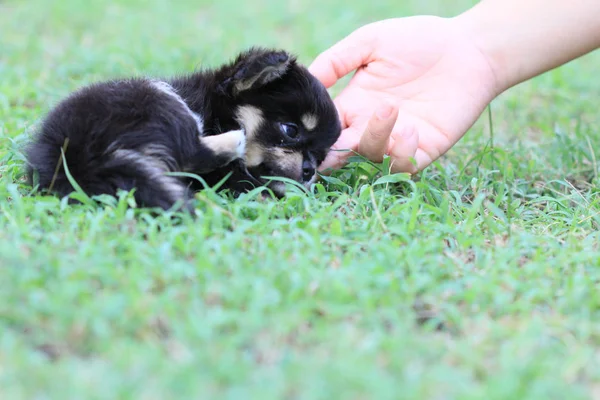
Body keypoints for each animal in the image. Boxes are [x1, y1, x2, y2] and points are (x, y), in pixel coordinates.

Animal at [24, 48, 342, 211]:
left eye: (320, 156)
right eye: (291, 130)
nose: (309, 170)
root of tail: (78, 159)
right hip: (158, 96)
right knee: (193, 152)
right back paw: (233, 141)